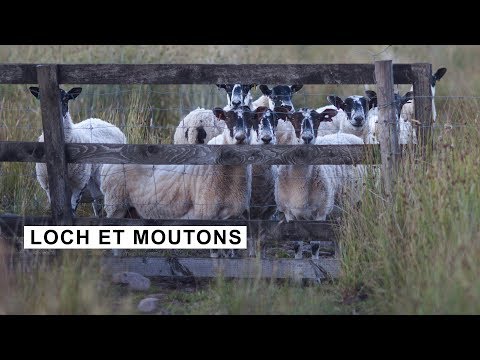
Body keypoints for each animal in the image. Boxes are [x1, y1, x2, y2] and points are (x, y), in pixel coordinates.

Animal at [29, 86, 127, 217]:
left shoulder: (80, 184)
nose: (58, 117)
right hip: (97, 191)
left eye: (66, 99)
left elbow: (72, 211)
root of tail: (103, 121)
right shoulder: (48, 186)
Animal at [101, 105, 255, 258]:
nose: (240, 138)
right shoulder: (208, 214)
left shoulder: (232, 216)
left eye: (251, 120)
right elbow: (216, 255)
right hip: (116, 205)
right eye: (228, 119)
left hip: (131, 211)